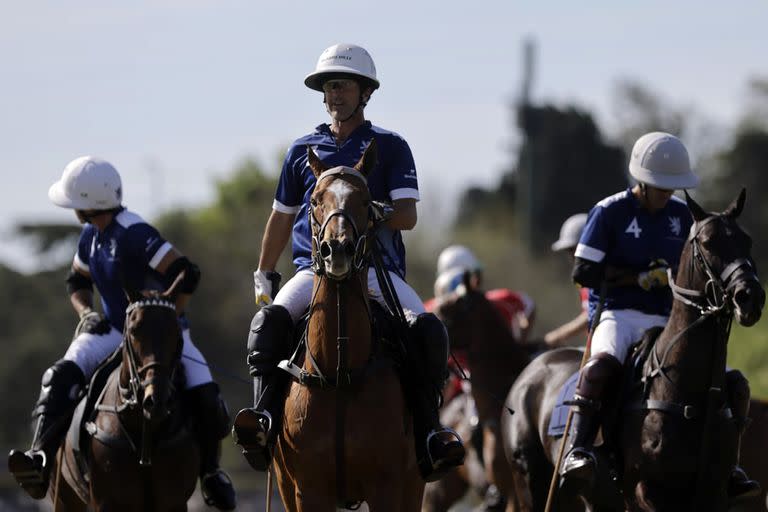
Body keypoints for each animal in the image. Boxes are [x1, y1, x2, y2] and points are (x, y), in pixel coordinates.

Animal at [55, 278, 200, 510]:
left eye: (177, 332)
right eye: (134, 330)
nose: (156, 400)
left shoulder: (174, 502)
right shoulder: (106, 501)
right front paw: (93, 321)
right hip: (64, 496)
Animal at [270, 140, 424, 512]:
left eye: (366, 201)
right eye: (314, 199)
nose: (337, 249)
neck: (338, 370)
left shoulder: (386, 486)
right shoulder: (307, 490)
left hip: (414, 485)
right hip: (283, 483)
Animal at [504, 189, 760, 512]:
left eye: (747, 240)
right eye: (707, 242)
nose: (750, 297)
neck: (689, 394)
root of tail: (534, 366)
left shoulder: (713, 493)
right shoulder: (643, 491)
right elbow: (587, 270)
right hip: (530, 482)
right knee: (598, 367)